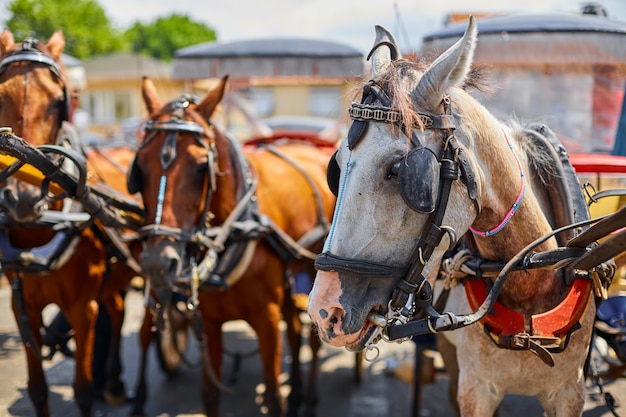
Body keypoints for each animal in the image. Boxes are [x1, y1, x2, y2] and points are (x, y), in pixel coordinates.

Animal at [0, 30, 140, 416]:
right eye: (0, 95)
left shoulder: (82, 309)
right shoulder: (24, 308)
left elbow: (82, 390)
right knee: (117, 309)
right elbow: (38, 389)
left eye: (58, 101)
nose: (23, 199)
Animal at [127, 75, 336, 416]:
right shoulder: (208, 323)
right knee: (294, 330)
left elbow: (273, 396)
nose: (158, 263)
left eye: (201, 168)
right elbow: (211, 394)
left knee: (312, 336)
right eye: (140, 168)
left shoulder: (267, 320)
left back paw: (310, 396)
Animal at [310, 17, 604, 416]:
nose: (324, 312)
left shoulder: (569, 392)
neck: (529, 273)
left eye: (402, 171)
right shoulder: (475, 390)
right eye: (335, 167)